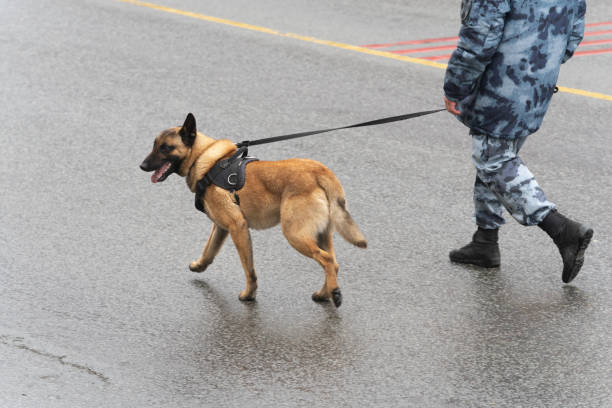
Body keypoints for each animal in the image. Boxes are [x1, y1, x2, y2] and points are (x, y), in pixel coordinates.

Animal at [141, 113, 366, 308]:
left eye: (166, 148)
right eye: (154, 145)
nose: (142, 166)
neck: (206, 160)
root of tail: (320, 171)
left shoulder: (237, 227)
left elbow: (249, 268)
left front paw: (249, 294)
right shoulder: (221, 227)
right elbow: (209, 251)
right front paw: (199, 265)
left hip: (294, 235)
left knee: (326, 260)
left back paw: (334, 292)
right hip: (320, 235)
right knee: (333, 263)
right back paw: (324, 293)